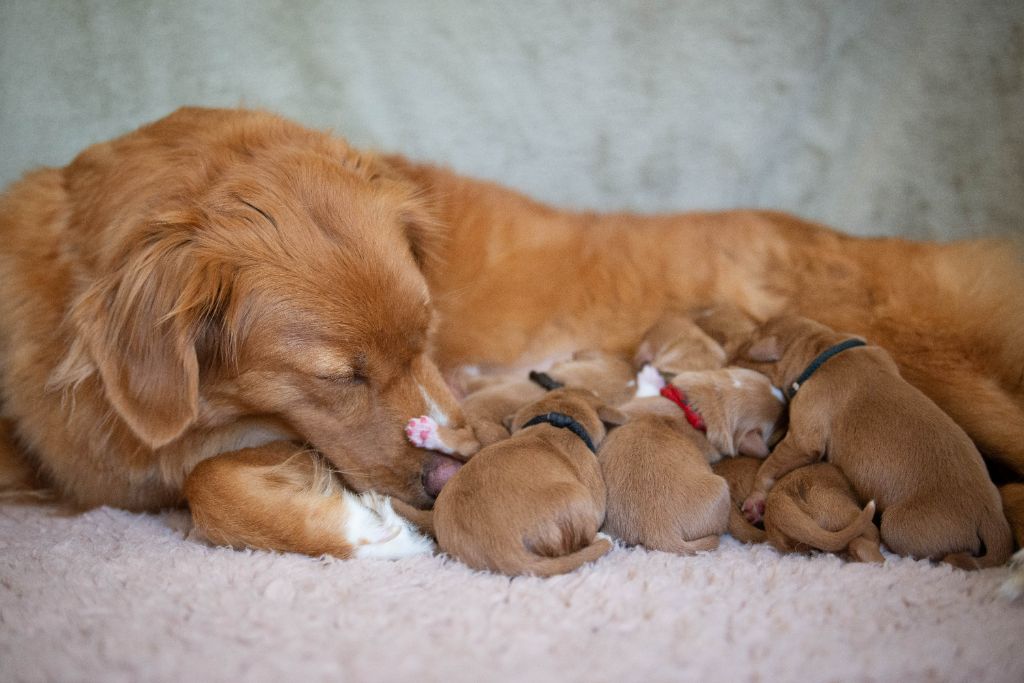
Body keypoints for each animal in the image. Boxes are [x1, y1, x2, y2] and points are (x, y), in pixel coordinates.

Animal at [411, 389, 618, 577]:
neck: (556, 425)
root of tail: (504, 551)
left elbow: (468, 444)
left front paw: (428, 434)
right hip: (578, 497)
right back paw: (599, 539)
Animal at [737, 317, 1007, 573]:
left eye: (742, 349)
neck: (822, 348)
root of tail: (991, 516)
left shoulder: (803, 437)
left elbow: (770, 465)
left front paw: (755, 500)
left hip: (898, 525)